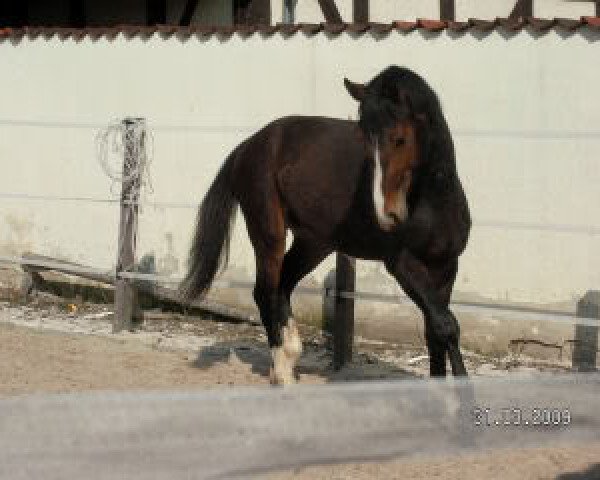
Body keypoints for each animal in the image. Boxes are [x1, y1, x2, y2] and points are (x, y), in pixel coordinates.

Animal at [180, 65, 472, 384]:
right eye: (365, 143)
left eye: (400, 139)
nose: (387, 214)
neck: (434, 203)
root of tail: (247, 146)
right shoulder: (403, 265)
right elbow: (446, 326)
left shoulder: (446, 266)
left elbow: (435, 331)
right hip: (268, 232)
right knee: (265, 292)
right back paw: (282, 374)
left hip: (313, 243)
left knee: (283, 285)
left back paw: (290, 356)